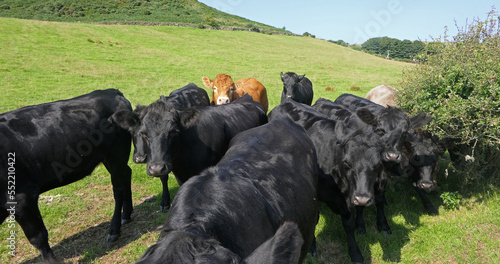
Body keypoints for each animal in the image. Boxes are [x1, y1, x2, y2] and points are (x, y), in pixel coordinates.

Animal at [0, 90, 133, 262]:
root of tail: (111, 91)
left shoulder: (22, 197)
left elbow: (38, 237)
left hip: (117, 153)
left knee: (118, 189)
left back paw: (114, 230)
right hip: (108, 157)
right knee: (127, 174)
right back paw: (127, 214)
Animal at [270, 100, 382, 264]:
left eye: (377, 164)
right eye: (347, 163)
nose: (362, 198)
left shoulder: (349, 199)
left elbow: (349, 225)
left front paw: (355, 253)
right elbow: (314, 219)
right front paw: (312, 248)